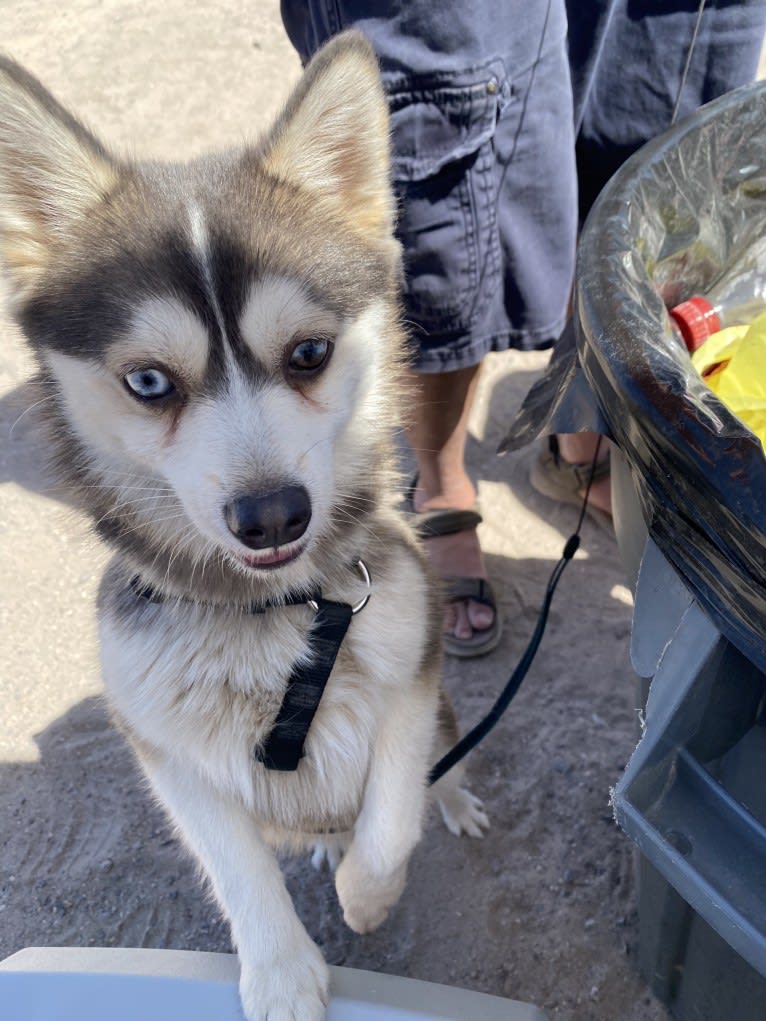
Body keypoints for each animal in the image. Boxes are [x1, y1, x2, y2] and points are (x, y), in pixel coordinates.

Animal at [0, 33, 488, 1021]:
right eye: (149, 381)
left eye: (309, 353)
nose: (271, 515)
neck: (274, 612)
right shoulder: (164, 747)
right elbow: (235, 863)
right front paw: (282, 968)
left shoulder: (409, 669)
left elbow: (391, 813)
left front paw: (366, 894)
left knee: (441, 764)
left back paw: (445, 802)